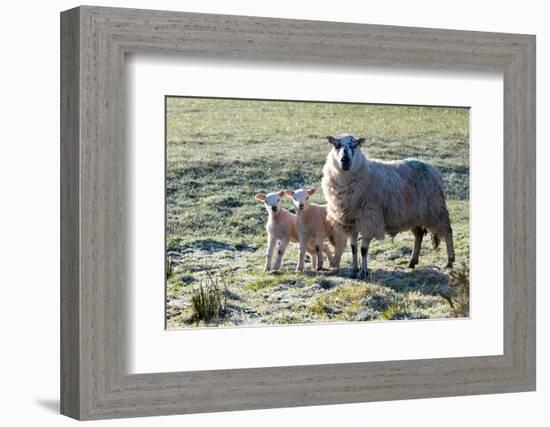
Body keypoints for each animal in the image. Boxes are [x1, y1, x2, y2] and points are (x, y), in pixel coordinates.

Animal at [322, 135, 454, 280]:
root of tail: (433, 169)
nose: (345, 160)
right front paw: (354, 270)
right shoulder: (350, 221)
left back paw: (449, 261)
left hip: (435, 210)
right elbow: (353, 248)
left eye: (355, 145)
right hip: (414, 215)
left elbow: (363, 250)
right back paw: (412, 261)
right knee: (419, 235)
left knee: (447, 231)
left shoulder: (370, 219)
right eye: (336, 145)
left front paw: (364, 272)